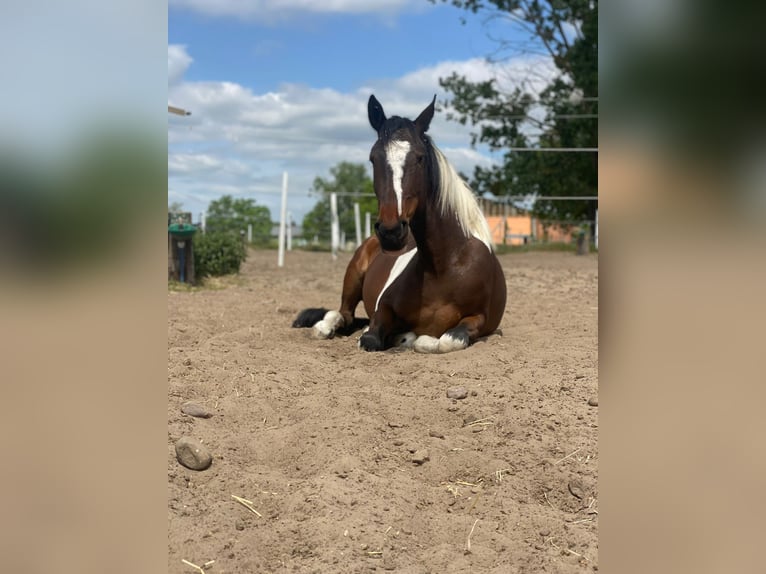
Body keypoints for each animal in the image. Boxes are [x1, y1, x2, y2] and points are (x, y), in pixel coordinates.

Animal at [294, 95, 510, 356]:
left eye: (419, 157)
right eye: (373, 158)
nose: (391, 231)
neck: (443, 267)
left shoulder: (479, 318)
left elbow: (447, 340)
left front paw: (413, 338)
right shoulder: (382, 308)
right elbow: (370, 337)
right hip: (353, 274)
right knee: (343, 314)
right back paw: (323, 327)